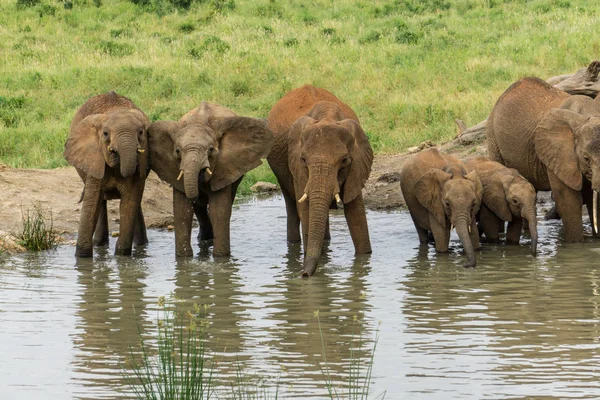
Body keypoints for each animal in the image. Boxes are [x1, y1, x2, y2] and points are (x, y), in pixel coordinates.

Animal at [63, 92, 150, 258]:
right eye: (105, 134)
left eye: (141, 132)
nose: (114, 152)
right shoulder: (94, 158)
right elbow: (91, 204)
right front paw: (82, 258)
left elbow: (129, 202)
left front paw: (122, 257)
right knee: (100, 202)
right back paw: (100, 244)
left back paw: (141, 246)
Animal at [149, 100, 274, 256]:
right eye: (177, 151)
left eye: (210, 149)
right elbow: (182, 212)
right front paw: (184, 258)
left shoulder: (225, 167)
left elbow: (219, 211)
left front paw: (221, 257)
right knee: (199, 208)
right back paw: (204, 238)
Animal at [266, 85, 372, 278]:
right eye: (303, 160)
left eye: (344, 160)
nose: (304, 275)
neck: (327, 117)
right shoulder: (296, 166)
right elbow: (305, 209)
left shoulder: (357, 166)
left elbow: (356, 213)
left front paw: (364, 259)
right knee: (291, 205)